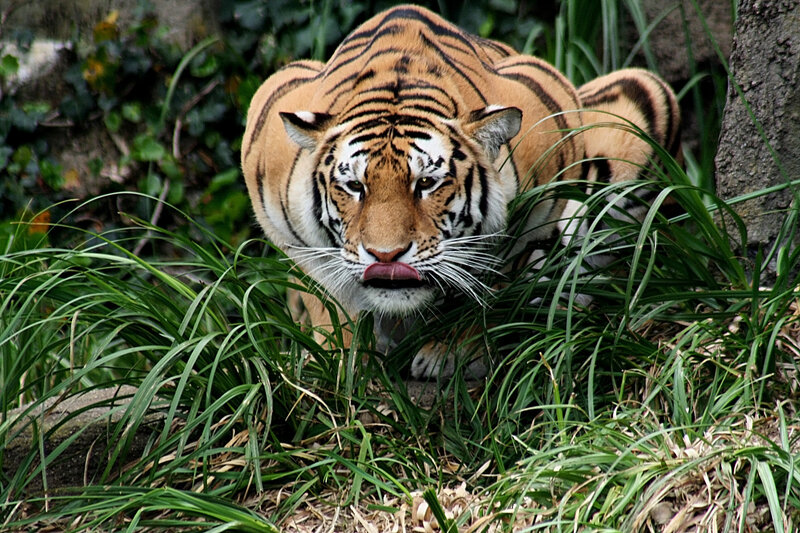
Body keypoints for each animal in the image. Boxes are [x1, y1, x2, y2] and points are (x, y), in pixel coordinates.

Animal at [241, 4, 681, 379]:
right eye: (354, 187)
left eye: (426, 183)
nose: (386, 257)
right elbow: (327, 295)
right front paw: (339, 358)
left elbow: (491, 282)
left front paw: (451, 353)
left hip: (640, 100)